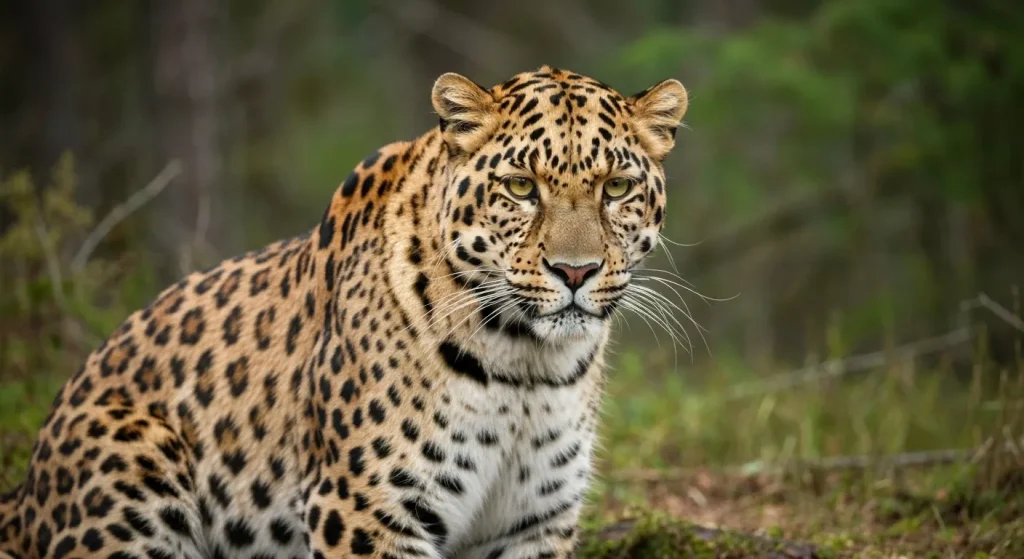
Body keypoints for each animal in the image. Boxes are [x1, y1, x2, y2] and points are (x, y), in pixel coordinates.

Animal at [0, 65, 688, 559]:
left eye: (617, 188)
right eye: (521, 187)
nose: (575, 272)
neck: (528, 363)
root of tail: (25, 493)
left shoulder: (533, 522)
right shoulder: (368, 508)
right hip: (133, 454)